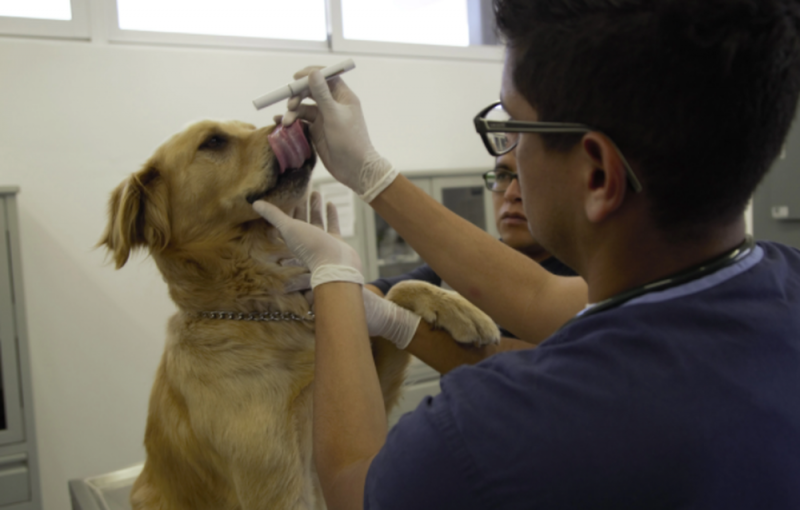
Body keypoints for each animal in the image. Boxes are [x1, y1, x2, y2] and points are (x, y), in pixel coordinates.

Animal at [100, 120, 500, 510]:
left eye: (248, 125)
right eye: (213, 141)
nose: (297, 125)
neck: (264, 315)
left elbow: (394, 289)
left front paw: (458, 307)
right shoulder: (279, 481)